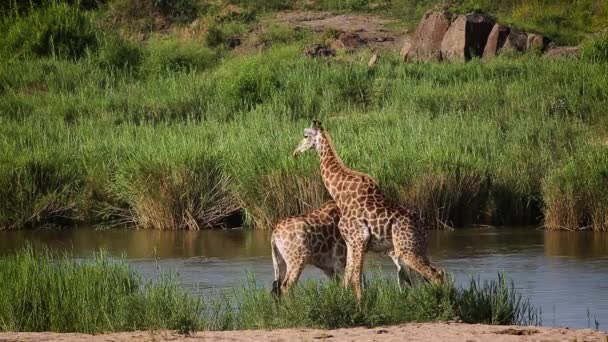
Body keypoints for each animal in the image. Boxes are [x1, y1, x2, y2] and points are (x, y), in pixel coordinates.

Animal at [270, 200, 414, 296]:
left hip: (280, 262)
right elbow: (355, 281)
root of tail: (274, 236)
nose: (409, 293)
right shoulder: (341, 260)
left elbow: (343, 285)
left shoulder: (329, 268)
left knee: (276, 287)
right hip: (298, 258)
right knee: (286, 286)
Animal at [292, 121, 444, 302]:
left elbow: (356, 278)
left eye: (305, 135)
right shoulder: (351, 242)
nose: (295, 152)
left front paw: (360, 304)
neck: (339, 193)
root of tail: (423, 227)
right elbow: (348, 276)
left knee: (434, 275)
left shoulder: (359, 239)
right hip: (417, 248)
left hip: (406, 250)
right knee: (433, 273)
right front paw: (343, 301)